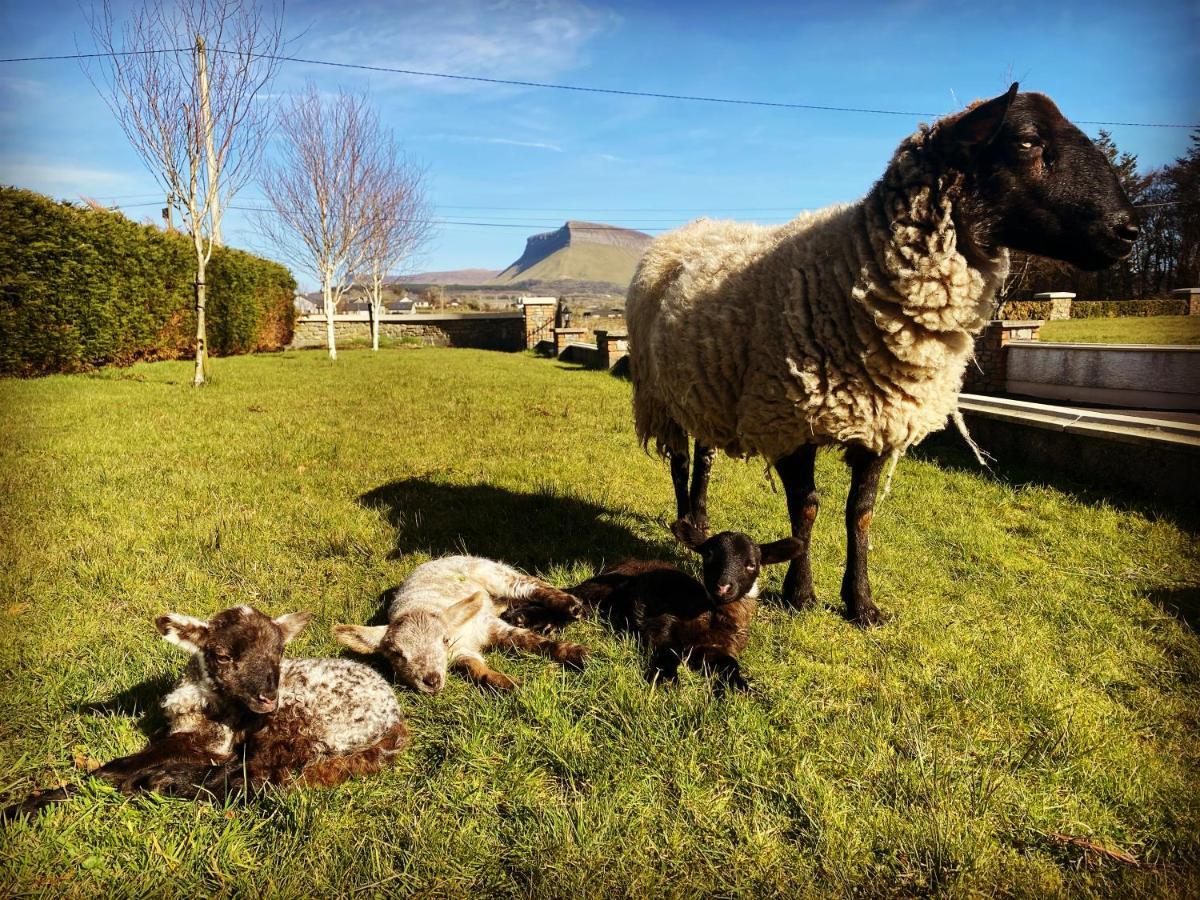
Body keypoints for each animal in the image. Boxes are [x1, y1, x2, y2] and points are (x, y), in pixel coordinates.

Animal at [2, 607, 408, 825]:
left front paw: (27, 805)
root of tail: (393, 719)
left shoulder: (213, 739)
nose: (268, 697)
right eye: (223, 654)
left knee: (258, 777)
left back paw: (161, 783)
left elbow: (116, 766)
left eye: (279, 653)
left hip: (305, 720)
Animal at [333, 556, 585, 696]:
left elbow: (525, 639)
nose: (431, 681)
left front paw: (575, 653)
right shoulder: (460, 654)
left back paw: (570, 606)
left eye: (444, 640)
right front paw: (507, 683)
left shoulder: (485, 624)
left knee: (533, 585)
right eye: (396, 654)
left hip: (494, 573)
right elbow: (475, 669)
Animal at [571, 520, 806, 691]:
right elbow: (668, 648)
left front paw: (740, 688)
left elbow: (731, 664)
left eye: (751, 565)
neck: (710, 615)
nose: (723, 587)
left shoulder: (718, 648)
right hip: (598, 588)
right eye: (708, 555)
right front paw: (666, 679)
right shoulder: (661, 620)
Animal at [624, 84, 1137, 628]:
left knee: (704, 456)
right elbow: (806, 506)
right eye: (1026, 141)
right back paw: (687, 524)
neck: (853, 267)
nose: (1129, 230)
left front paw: (862, 603)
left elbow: (861, 511)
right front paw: (800, 593)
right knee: (681, 460)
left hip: (707, 382)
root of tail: (693, 227)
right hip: (658, 391)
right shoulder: (789, 418)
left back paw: (700, 522)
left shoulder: (881, 421)